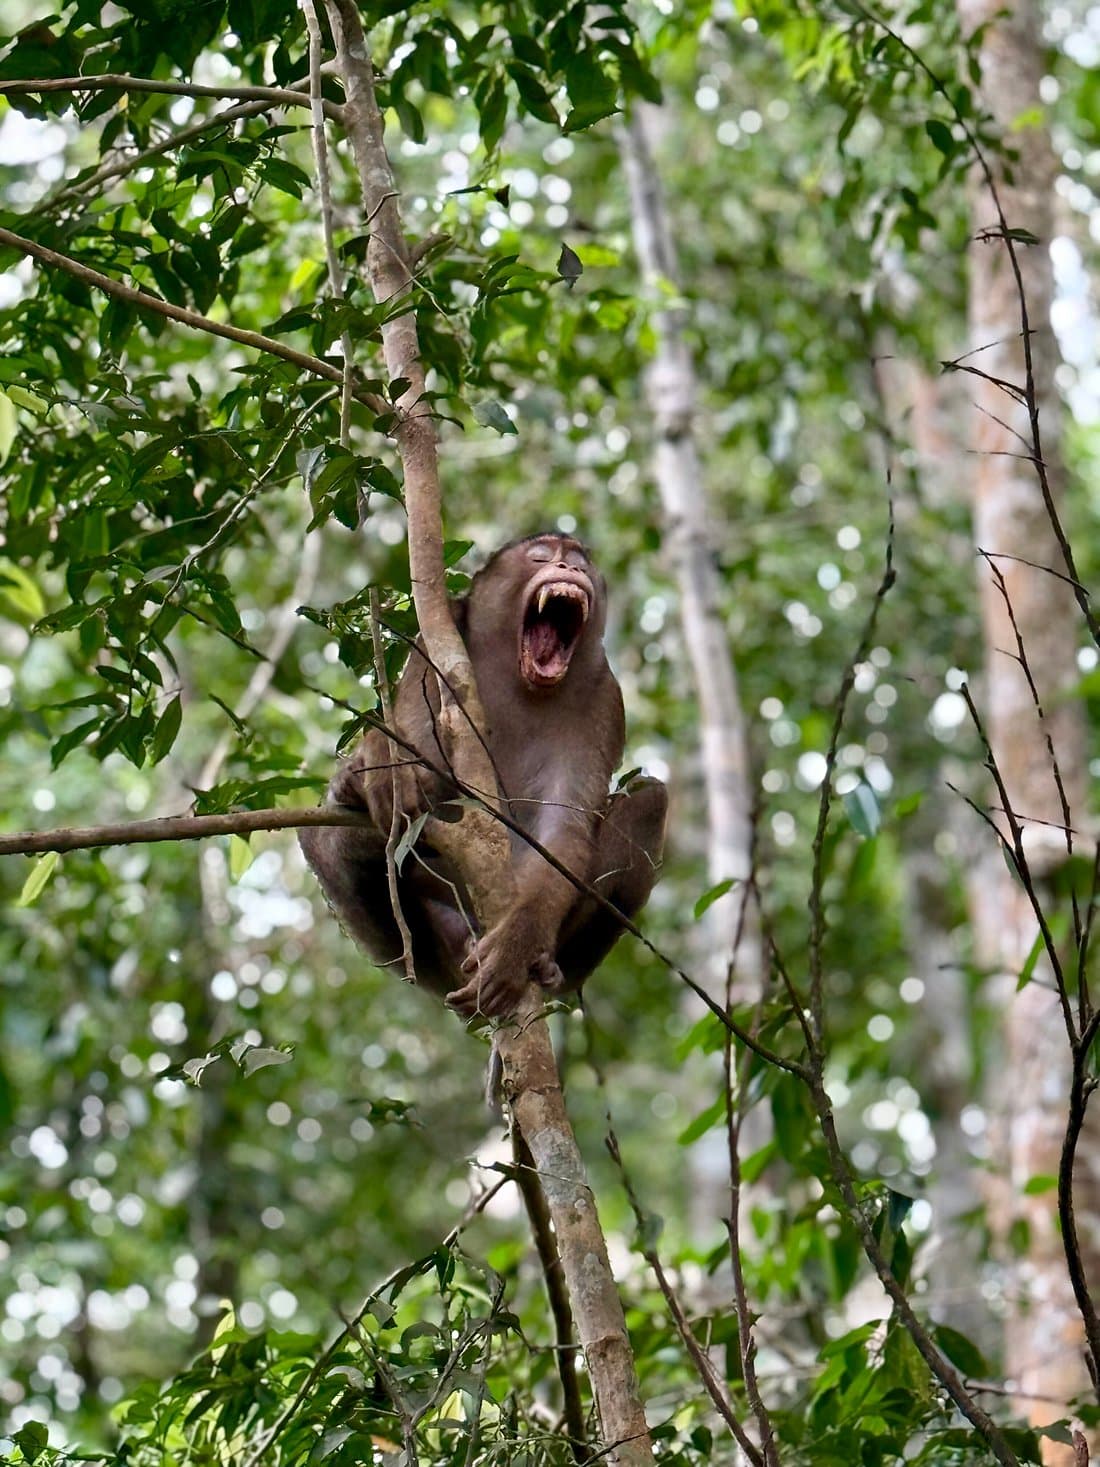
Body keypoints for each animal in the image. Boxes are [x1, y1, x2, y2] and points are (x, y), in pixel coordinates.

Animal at [299, 533, 668, 1019]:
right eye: (542, 555)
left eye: (580, 561)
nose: (570, 567)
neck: (520, 678)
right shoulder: (433, 648)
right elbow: (423, 769)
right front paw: (374, 770)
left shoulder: (604, 701)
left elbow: (564, 831)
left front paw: (516, 949)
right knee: (329, 835)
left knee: (648, 798)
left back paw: (550, 966)